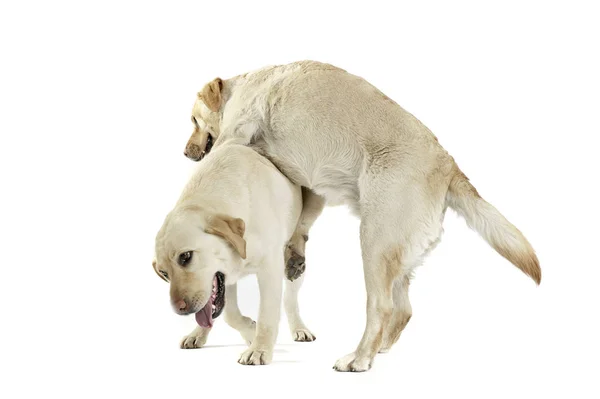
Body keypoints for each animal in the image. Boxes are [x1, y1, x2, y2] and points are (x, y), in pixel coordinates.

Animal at [152, 146, 316, 366]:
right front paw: (250, 331)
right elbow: (229, 314)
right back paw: (198, 333)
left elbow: (266, 315)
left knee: (290, 299)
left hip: (294, 264)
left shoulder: (269, 269)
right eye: (164, 273)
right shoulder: (226, 275)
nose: (180, 309)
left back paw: (299, 328)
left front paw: (259, 349)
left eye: (185, 256)